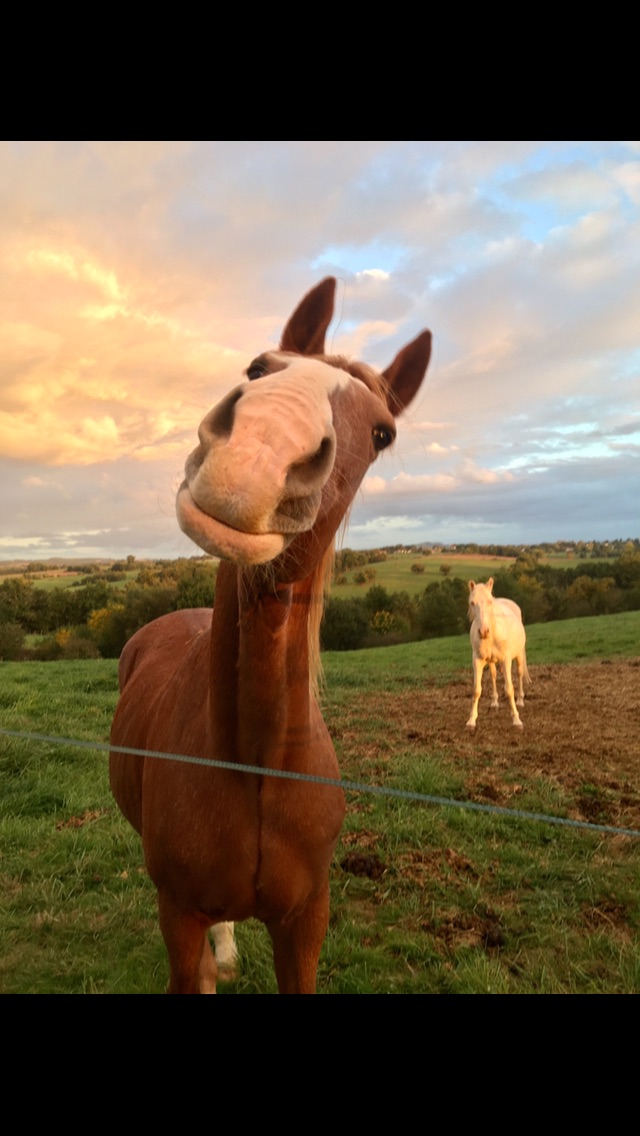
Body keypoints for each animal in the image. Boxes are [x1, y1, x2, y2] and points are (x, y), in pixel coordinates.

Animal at [109, 277, 431, 993]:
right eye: (259, 368)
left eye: (383, 432)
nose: (255, 457)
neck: (253, 761)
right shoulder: (178, 914)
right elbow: (193, 970)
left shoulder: (305, 921)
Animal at [466, 577, 530, 731]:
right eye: (472, 603)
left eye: (490, 601)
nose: (483, 632)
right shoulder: (477, 660)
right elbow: (476, 690)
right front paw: (471, 721)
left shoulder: (506, 660)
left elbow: (509, 689)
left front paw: (517, 720)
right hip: (490, 661)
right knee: (493, 675)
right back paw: (494, 701)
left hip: (519, 655)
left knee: (519, 674)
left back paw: (520, 700)